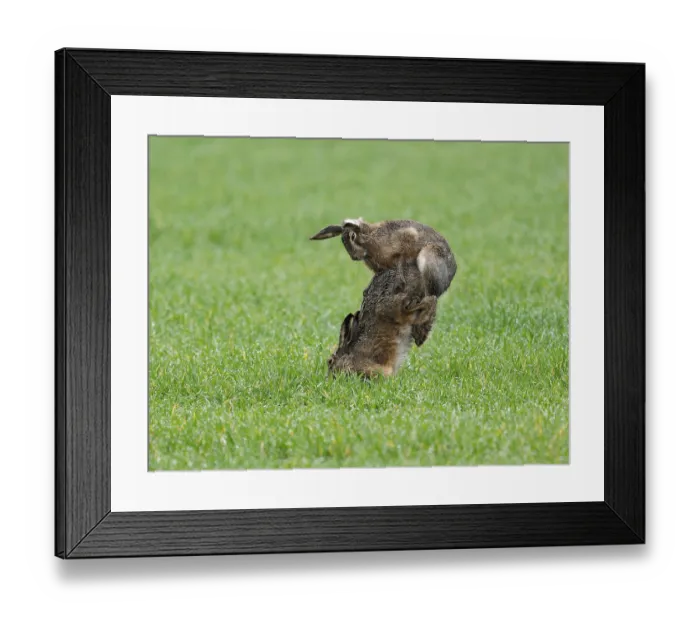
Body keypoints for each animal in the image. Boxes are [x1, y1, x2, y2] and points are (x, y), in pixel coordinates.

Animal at [310, 217, 457, 299]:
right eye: (342, 240)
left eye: (352, 236)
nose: (354, 257)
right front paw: (366, 290)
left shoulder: (408, 238)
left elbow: (401, 258)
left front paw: (399, 281)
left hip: (428, 256)